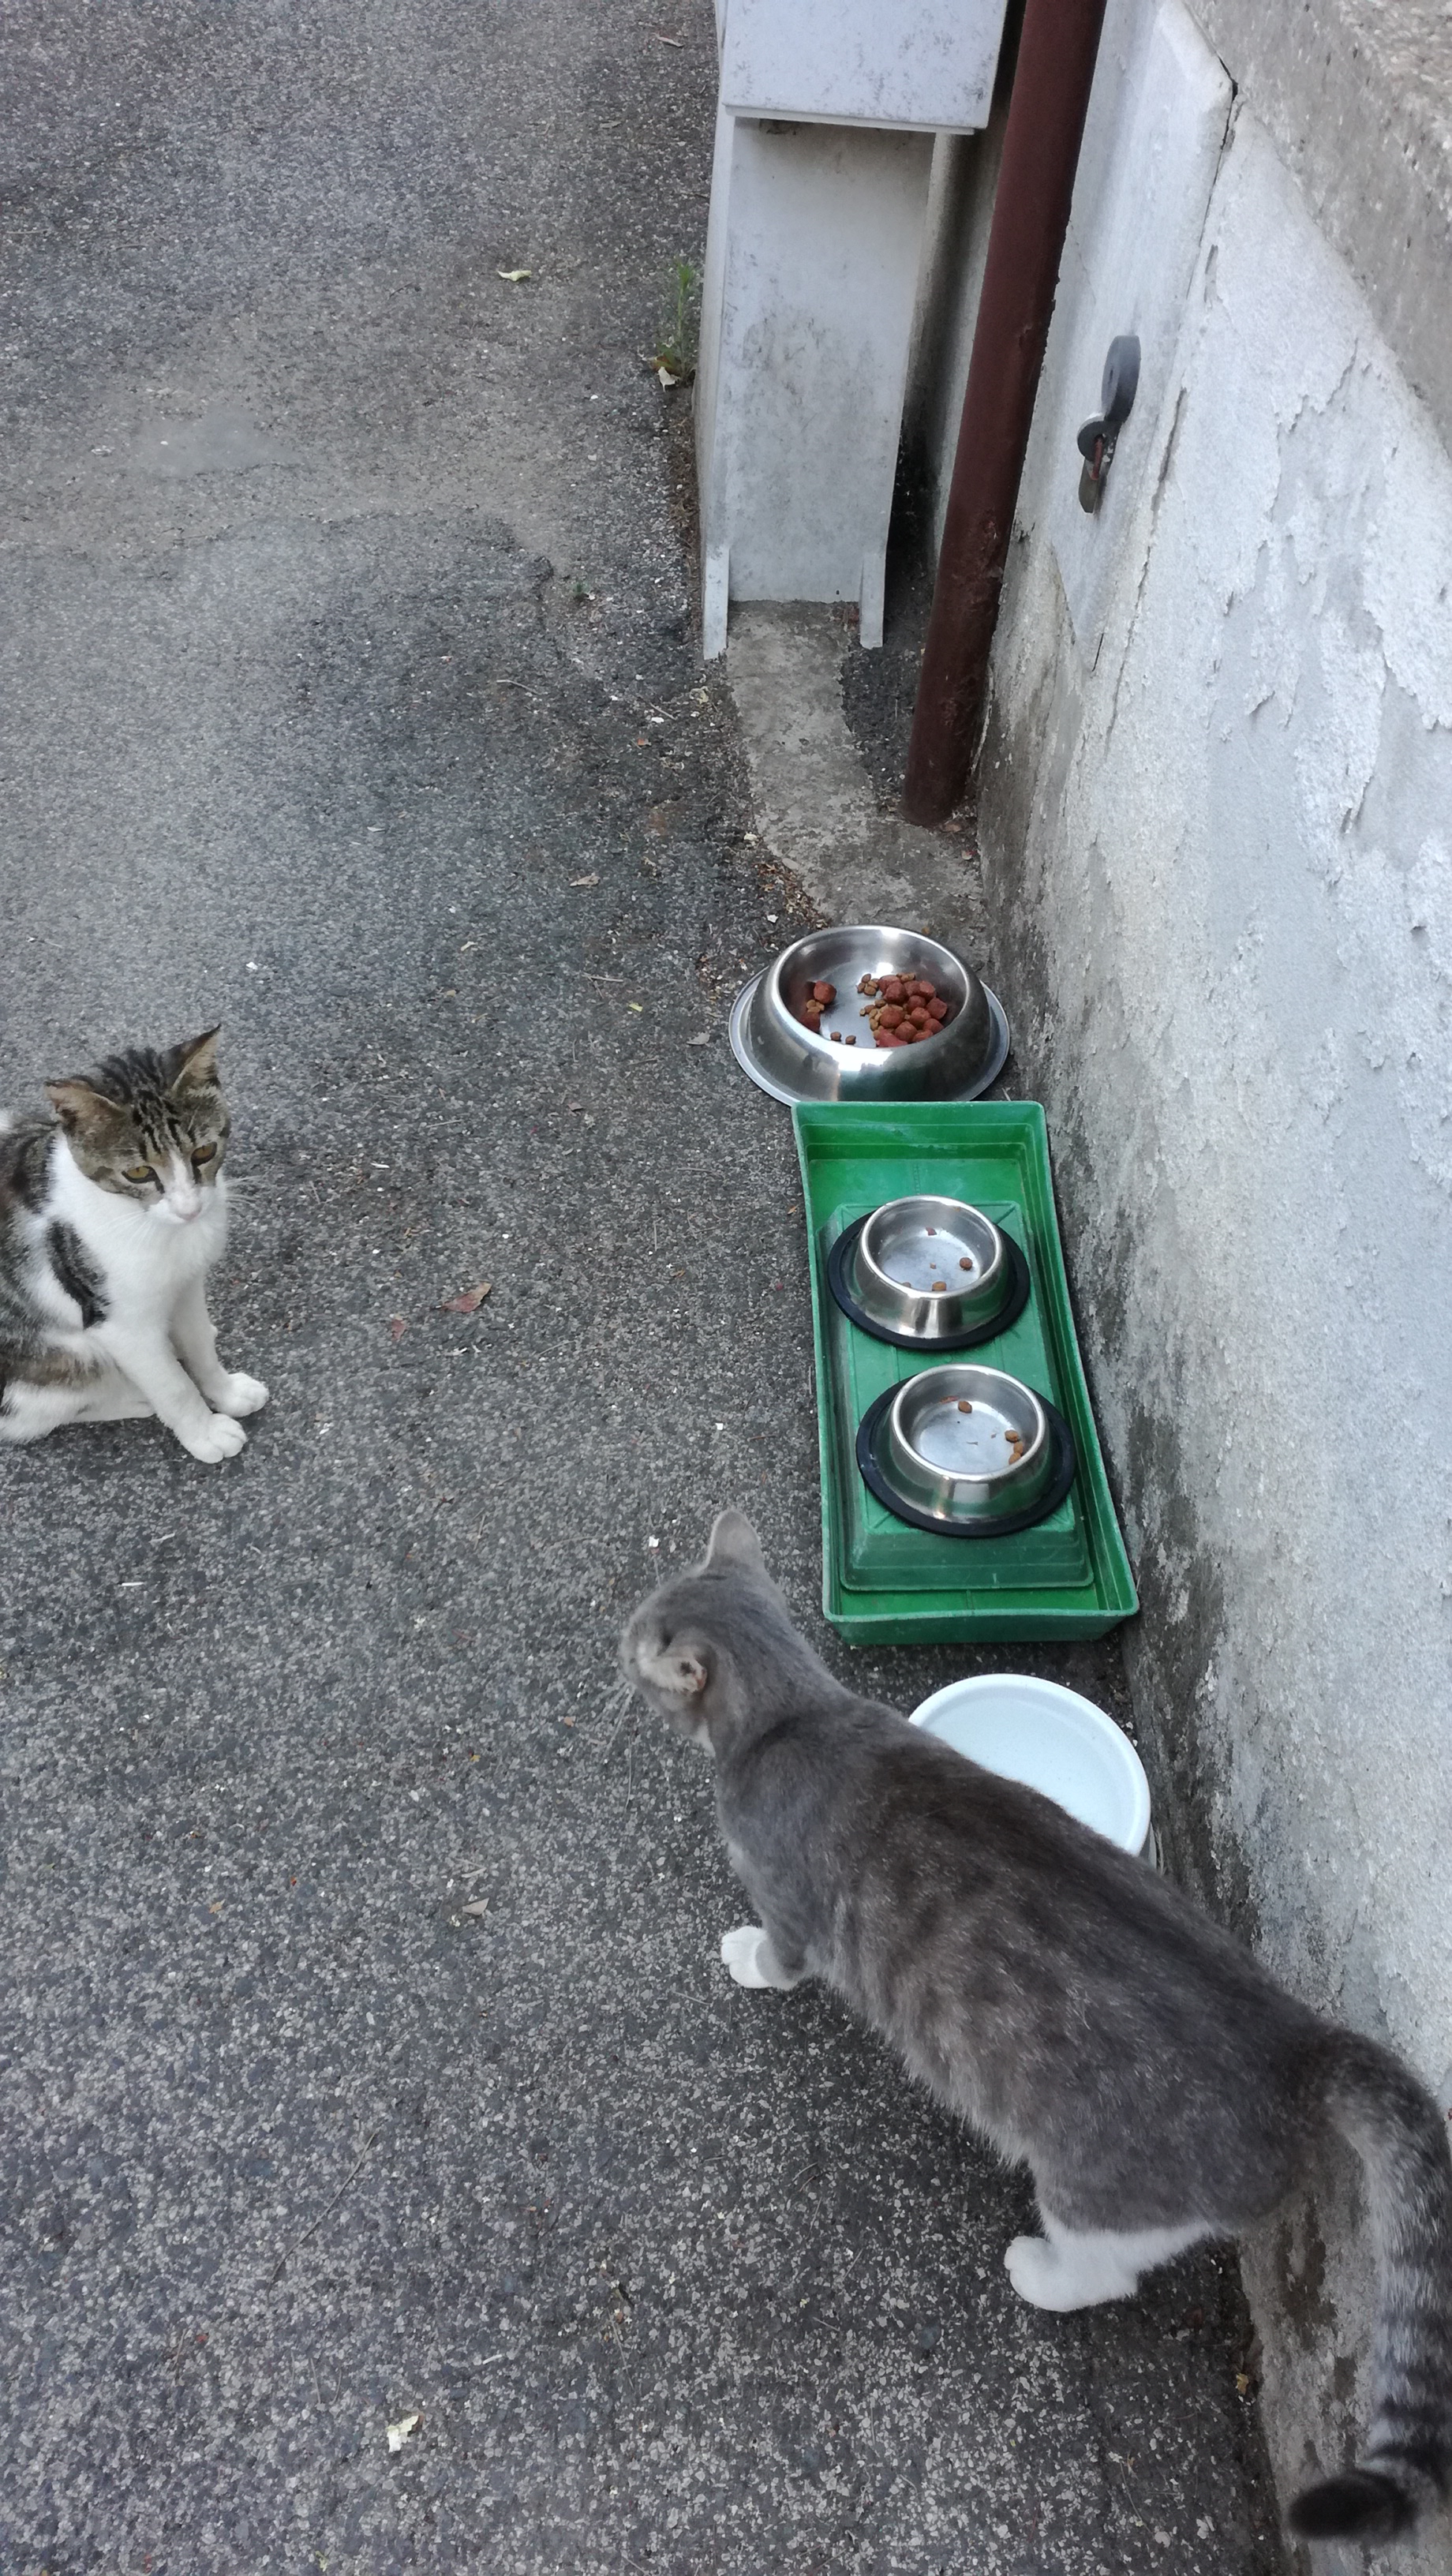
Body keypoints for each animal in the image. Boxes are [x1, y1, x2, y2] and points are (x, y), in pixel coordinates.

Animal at [0, 1028, 267, 1463]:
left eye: (204, 1152)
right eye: (139, 1173)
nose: (189, 1209)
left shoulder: (186, 1283)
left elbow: (197, 1343)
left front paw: (226, 1392)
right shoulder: (120, 1324)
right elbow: (172, 1385)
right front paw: (204, 1432)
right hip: (62, 1358)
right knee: (30, 1418)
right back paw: (134, 1397)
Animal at [622, 1510, 1452, 2547]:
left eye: (635, 1641)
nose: (614, 1650)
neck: (793, 1713)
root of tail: (1298, 2046)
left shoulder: (787, 1905)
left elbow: (778, 1955)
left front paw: (742, 1959)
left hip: (1096, 2190)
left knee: (1105, 2271)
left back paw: (1040, 2271)